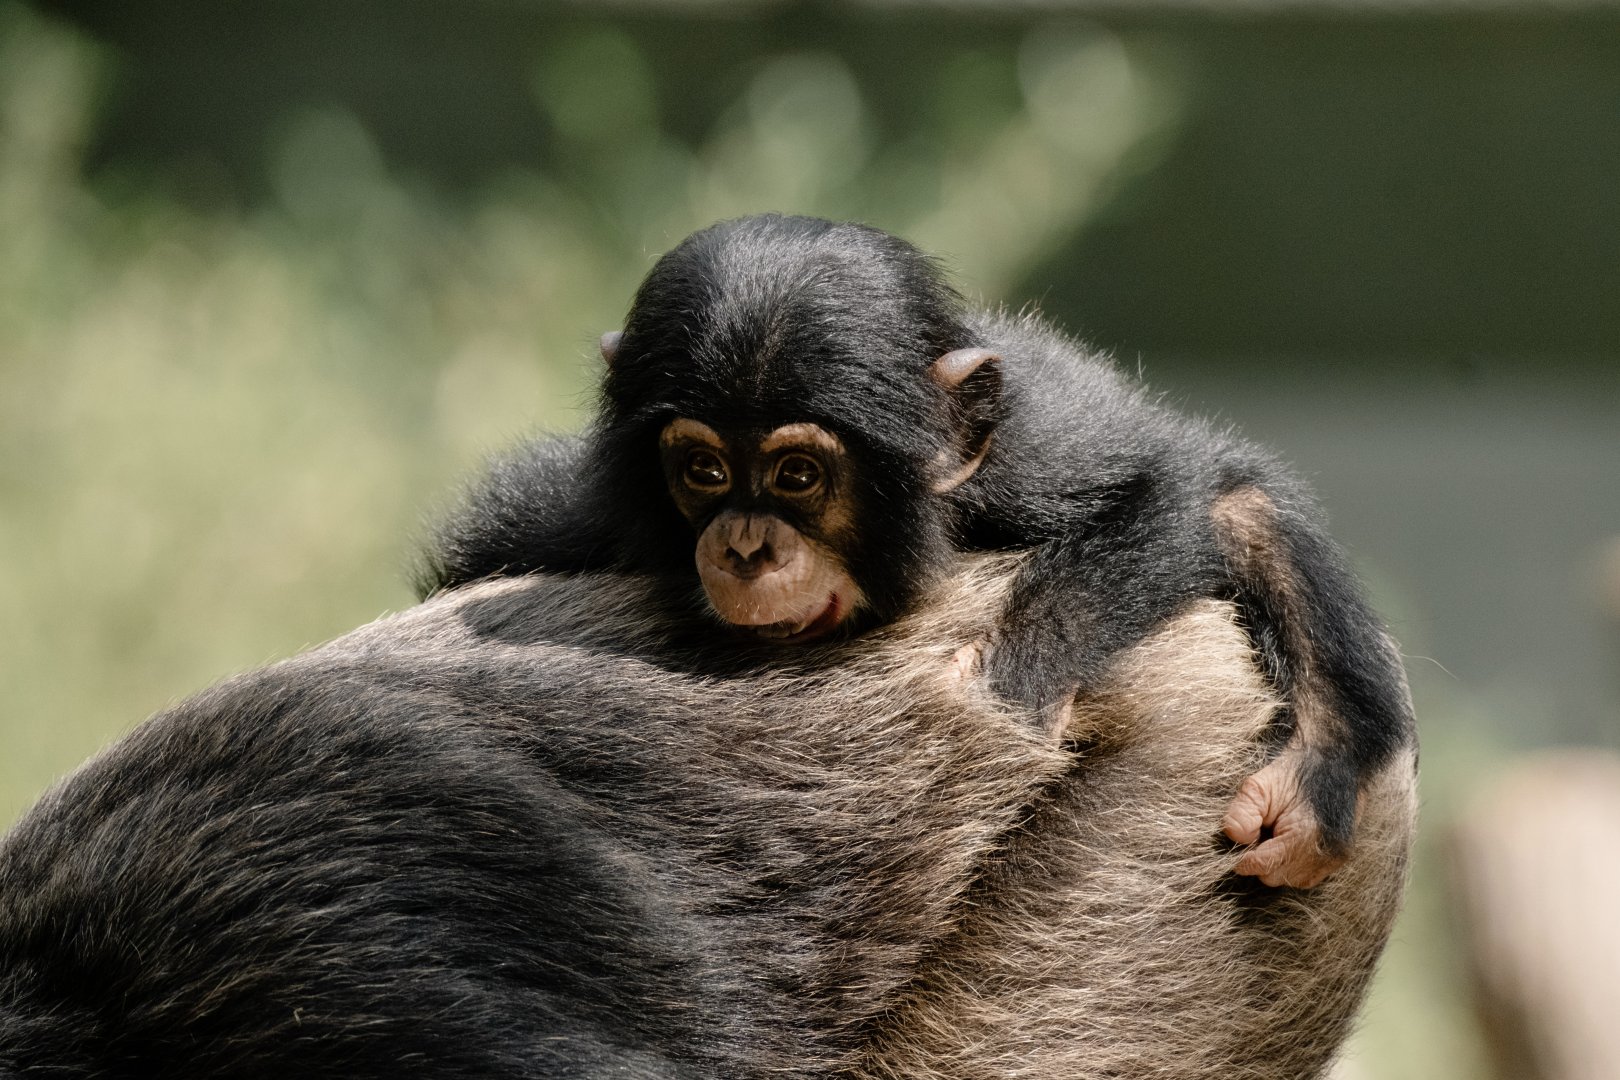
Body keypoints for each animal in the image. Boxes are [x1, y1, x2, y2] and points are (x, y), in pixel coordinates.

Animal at [423, 214, 1416, 889]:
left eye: (796, 476)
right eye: (704, 470)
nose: (744, 545)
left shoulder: (1029, 455)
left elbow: (1165, 489)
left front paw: (1009, 681)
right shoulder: (570, 518)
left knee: (1244, 506)